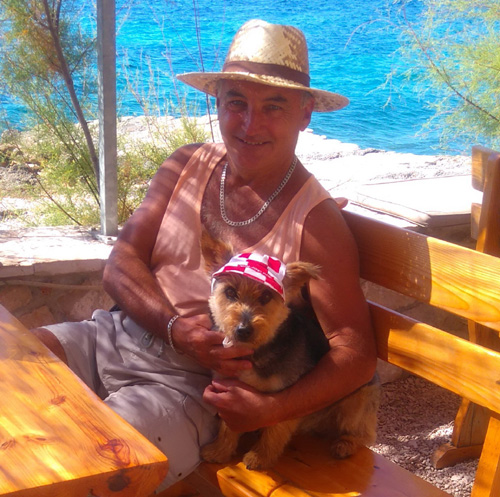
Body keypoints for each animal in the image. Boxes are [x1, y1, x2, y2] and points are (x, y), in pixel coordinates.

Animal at [200, 232, 380, 470]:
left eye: (266, 297)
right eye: (230, 292)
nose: (243, 330)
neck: (256, 352)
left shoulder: (286, 400)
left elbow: (275, 429)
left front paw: (260, 457)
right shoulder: (227, 390)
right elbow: (227, 427)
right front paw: (219, 451)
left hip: (358, 399)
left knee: (364, 433)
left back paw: (346, 444)